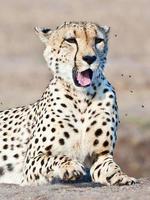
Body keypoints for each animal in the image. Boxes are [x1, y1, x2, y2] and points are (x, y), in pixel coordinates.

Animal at [0, 21, 137, 186]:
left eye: (98, 40)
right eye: (71, 40)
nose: (90, 58)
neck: (82, 98)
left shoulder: (101, 155)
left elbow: (111, 167)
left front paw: (122, 177)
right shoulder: (31, 162)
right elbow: (55, 157)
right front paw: (70, 166)